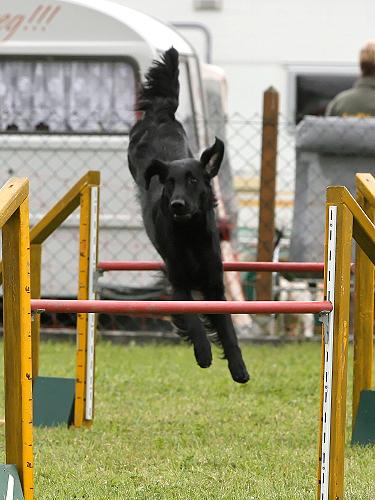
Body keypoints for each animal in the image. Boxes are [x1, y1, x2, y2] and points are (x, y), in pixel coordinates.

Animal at [129, 47, 250, 382]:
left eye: (194, 180)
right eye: (170, 182)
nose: (177, 205)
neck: (191, 235)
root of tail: (162, 115)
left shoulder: (215, 286)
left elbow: (227, 329)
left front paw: (239, 367)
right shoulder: (179, 283)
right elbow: (194, 318)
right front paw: (204, 353)